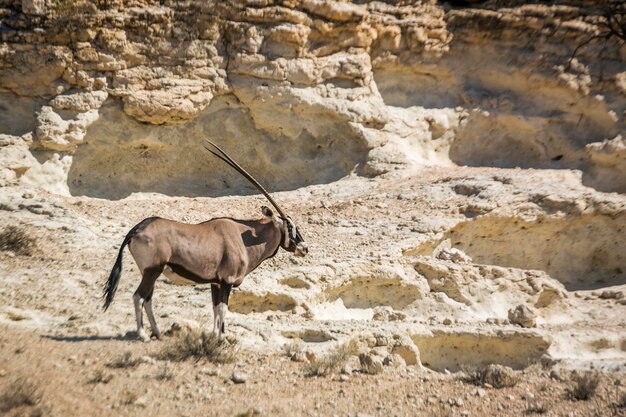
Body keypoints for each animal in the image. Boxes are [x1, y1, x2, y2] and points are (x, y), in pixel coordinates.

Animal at [102, 140, 308, 342]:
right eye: (290, 226)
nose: (304, 248)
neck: (243, 237)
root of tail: (137, 229)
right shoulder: (227, 281)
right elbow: (223, 308)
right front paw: (221, 339)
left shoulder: (215, 283)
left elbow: (215, 308)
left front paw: (213, 335)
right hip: (153, 270)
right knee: (139, 297)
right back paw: (143, 334)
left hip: (150, 272)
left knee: (148, 299)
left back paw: (157, 332)